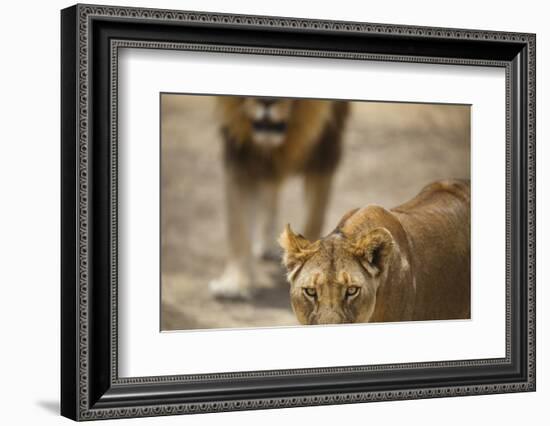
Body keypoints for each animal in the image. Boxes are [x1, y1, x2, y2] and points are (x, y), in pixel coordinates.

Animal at [210, 95, 350, 300]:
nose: (267, 101)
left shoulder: (325, 153)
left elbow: (314, 217)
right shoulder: (240, 155)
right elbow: (238, 225)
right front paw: (235, 284)